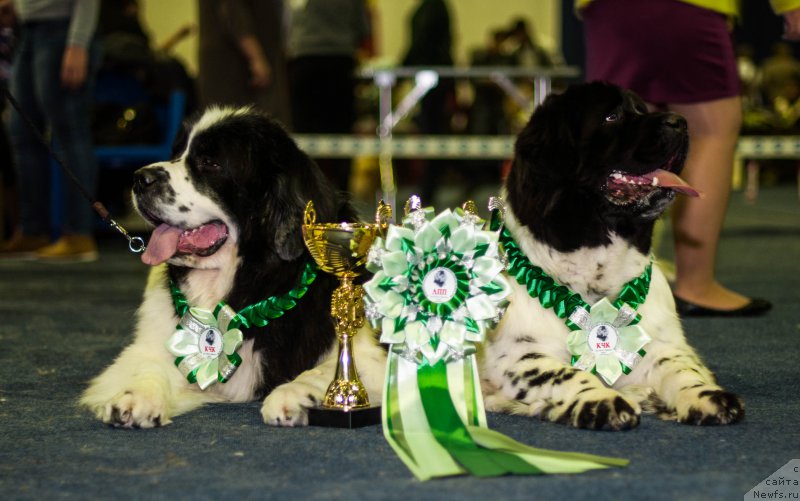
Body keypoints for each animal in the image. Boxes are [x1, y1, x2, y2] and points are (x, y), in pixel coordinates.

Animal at [79, 107, 386, 428]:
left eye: (209, 163)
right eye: (177, 152)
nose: (140, 178)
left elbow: (329, 368)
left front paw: (294, 394)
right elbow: (150, 365)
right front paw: (137, 397)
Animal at [478, 82, 748, 430]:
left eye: (642, 110)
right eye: (612, 116)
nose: (680, 121)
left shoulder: (659, 344)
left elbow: (678, 366)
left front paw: (705, 395)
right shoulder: (518, 355)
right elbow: (563, 374)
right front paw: (601, 400)